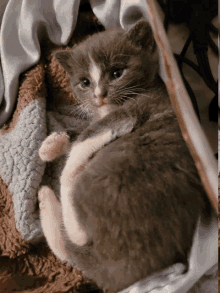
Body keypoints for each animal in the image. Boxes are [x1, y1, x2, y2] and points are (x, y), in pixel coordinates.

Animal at [38, 19, 209, 290]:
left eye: (117, 73)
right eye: (84, 82)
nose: (99, 95)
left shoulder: (132, 112)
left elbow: (84, 141)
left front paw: (60, 158)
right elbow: (81, 131)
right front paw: (51, 144)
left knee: (74, 234)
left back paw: (72, 225)